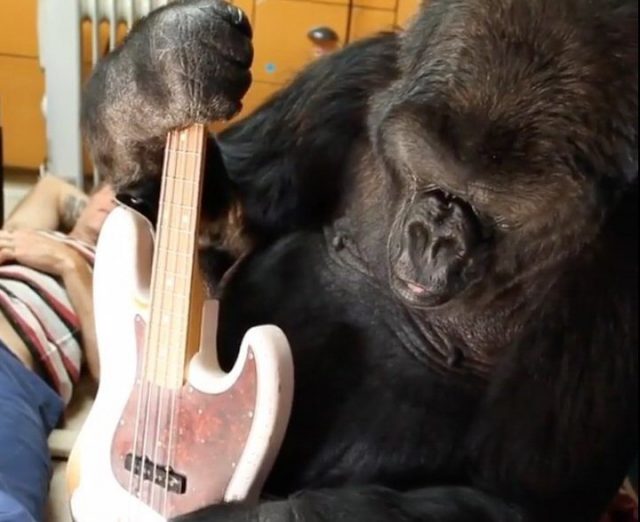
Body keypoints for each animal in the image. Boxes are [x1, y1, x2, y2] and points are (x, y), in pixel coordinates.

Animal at [82, 0, 636, 516]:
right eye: (424, 169)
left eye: (496, 206)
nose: (432, 237)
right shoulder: (353, 78)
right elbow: (220, 236)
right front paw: (161, 72)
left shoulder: (613, 274)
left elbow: (512, 497)